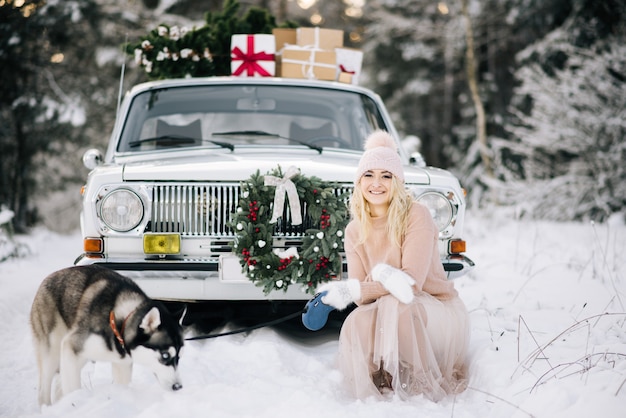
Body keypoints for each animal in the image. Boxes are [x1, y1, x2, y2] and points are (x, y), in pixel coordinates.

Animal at [30, 264, 184, 404]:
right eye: (165, 355)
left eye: (179, 357)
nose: (178, 387)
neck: (120, 322)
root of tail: (48, 278)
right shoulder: (71, 345)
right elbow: (72, 388)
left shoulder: (122, 364)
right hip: (54, 353)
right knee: (44, 389)